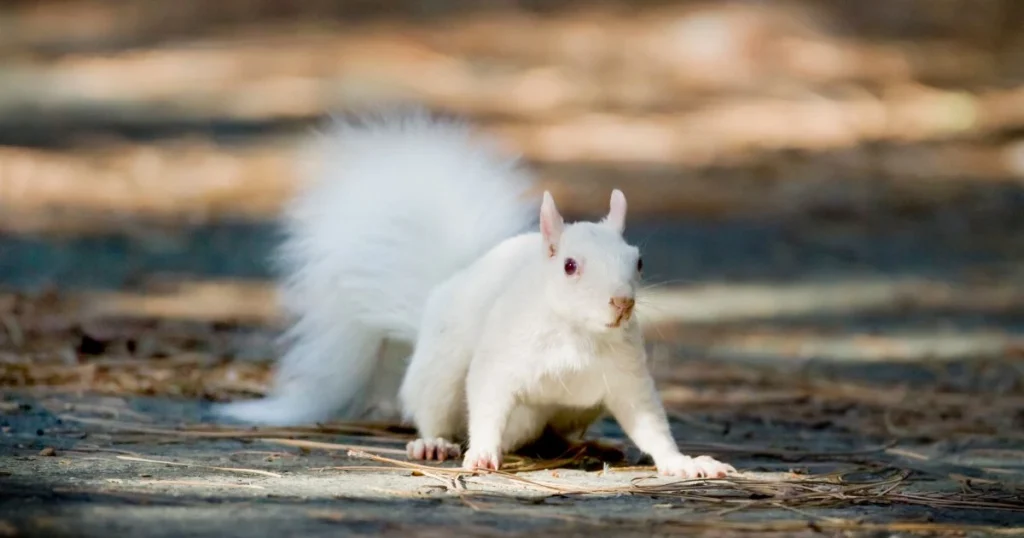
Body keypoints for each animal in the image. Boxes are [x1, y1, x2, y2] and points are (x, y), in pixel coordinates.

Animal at [218, 109, 737, 477]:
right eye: (569, 266)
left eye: (639, 261)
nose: (622, 304)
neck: (576, 335)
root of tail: (443, 290)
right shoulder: (502, 359)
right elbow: (487, 400)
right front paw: (482, 454)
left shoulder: (627, 376)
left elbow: (650, 424)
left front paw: (683, 463)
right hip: (440, 369)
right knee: (430, 408)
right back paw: (434, 444)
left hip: (577, 409)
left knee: (549, 434)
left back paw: (580, 444)